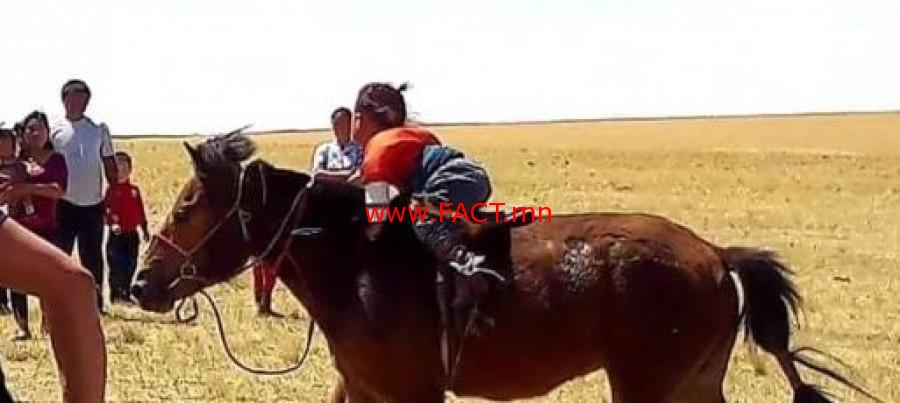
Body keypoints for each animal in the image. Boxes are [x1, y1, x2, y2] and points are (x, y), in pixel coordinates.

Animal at [131, 131, 879, 402]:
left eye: (189, 205)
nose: (141, 282)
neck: (359, 262)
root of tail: (716, 254)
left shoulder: (411, 394)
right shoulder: (364, 389)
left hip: (648, 387)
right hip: (692, 384)